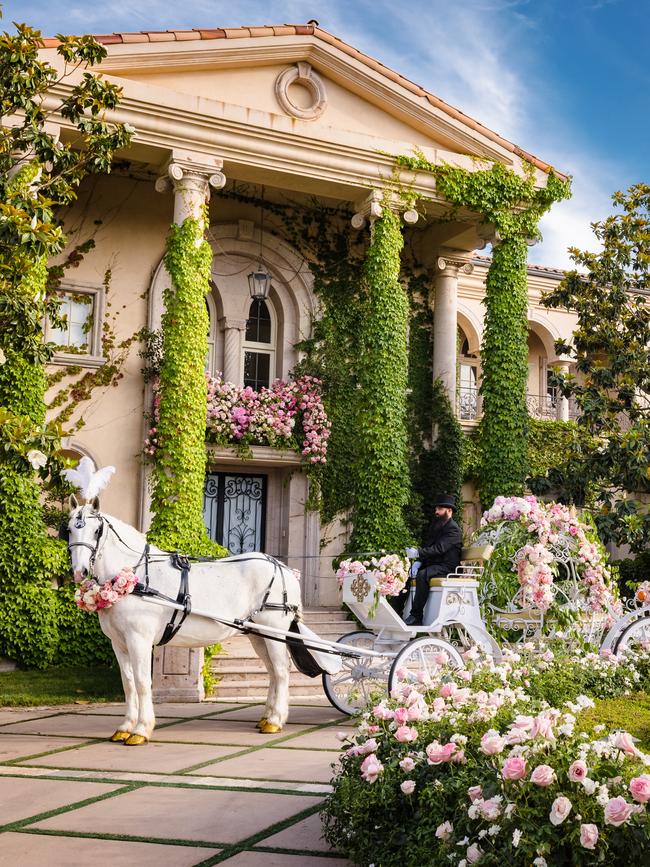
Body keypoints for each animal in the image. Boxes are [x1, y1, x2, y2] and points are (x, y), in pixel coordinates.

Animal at [63, 496, 302, 744]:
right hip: (258, 635)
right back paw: (267, 717)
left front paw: (141, 729)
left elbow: (142, 683)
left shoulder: (139, 640)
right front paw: (126, 726)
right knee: (273, 671)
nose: (79, 572)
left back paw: (275, 720)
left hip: (274, 631)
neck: (135, 578)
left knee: (281, 671)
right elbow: (128, 683)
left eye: (97, 530)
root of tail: (283, 568)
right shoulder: (119, 643)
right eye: (68, 530)